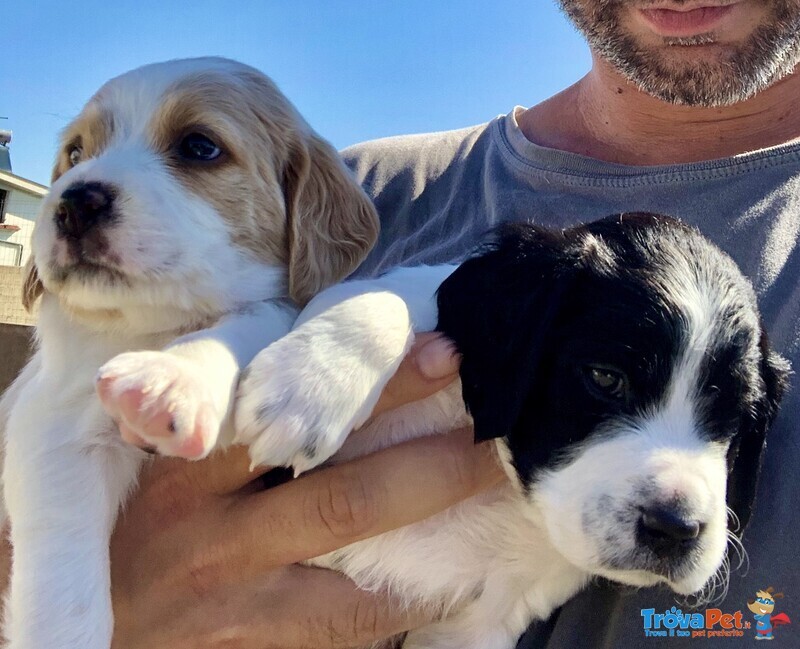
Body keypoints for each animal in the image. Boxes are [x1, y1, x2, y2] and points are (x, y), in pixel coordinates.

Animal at [0, 57, 378, 648]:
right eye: (75, 155)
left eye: (200, 146)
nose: (73, 202)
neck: (145, 327)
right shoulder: (51, 429)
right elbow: (64, 599)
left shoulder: (268, 304)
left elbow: (254, 316)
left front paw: (177, 378)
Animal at [236, 214, 788, 648]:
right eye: (606, 378)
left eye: (737, 419)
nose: (675, 528)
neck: (506, 489)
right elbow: (390, 295)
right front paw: (308, 384)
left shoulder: (474, 626)